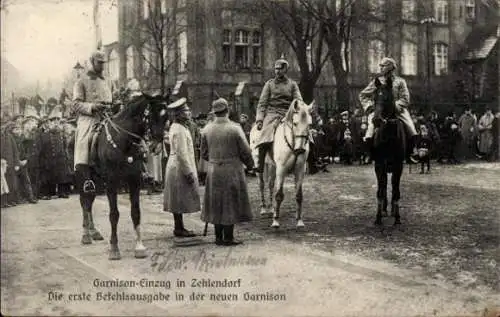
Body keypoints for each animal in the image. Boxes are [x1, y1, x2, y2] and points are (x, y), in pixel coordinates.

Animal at [94, 93, 169, 260]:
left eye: (166, 117)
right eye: (152, 115)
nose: (156, 147)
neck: (123, 141)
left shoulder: (134, 180)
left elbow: (136, 212)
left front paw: (139, 246)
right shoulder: (111, 182)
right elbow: (114, 214)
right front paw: (114, 248)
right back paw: (88, 234)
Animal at [252, 99, 314, 227]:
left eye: (309, 125)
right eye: (295, 123)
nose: (300, 150)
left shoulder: (300, 170)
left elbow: (299, 195)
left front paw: (299, 221)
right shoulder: (281, 169)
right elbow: (279, 195)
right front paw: (276, 221)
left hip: (272, 166)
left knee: (270, 185)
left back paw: (271, 209)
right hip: (260, 167)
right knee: (261, 184)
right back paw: (264, 209)